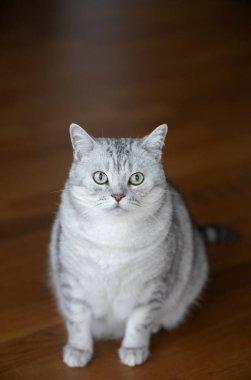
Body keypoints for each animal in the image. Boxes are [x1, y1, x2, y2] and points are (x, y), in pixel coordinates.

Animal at [49, 123, 237, 366]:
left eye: (136, 178)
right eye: (100, 177)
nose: (118, 196)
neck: (113, 238)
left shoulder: (152, 286)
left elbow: (139, 322)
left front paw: (134, 348)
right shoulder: (72, 281)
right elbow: (77, 320)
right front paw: (79, 349)